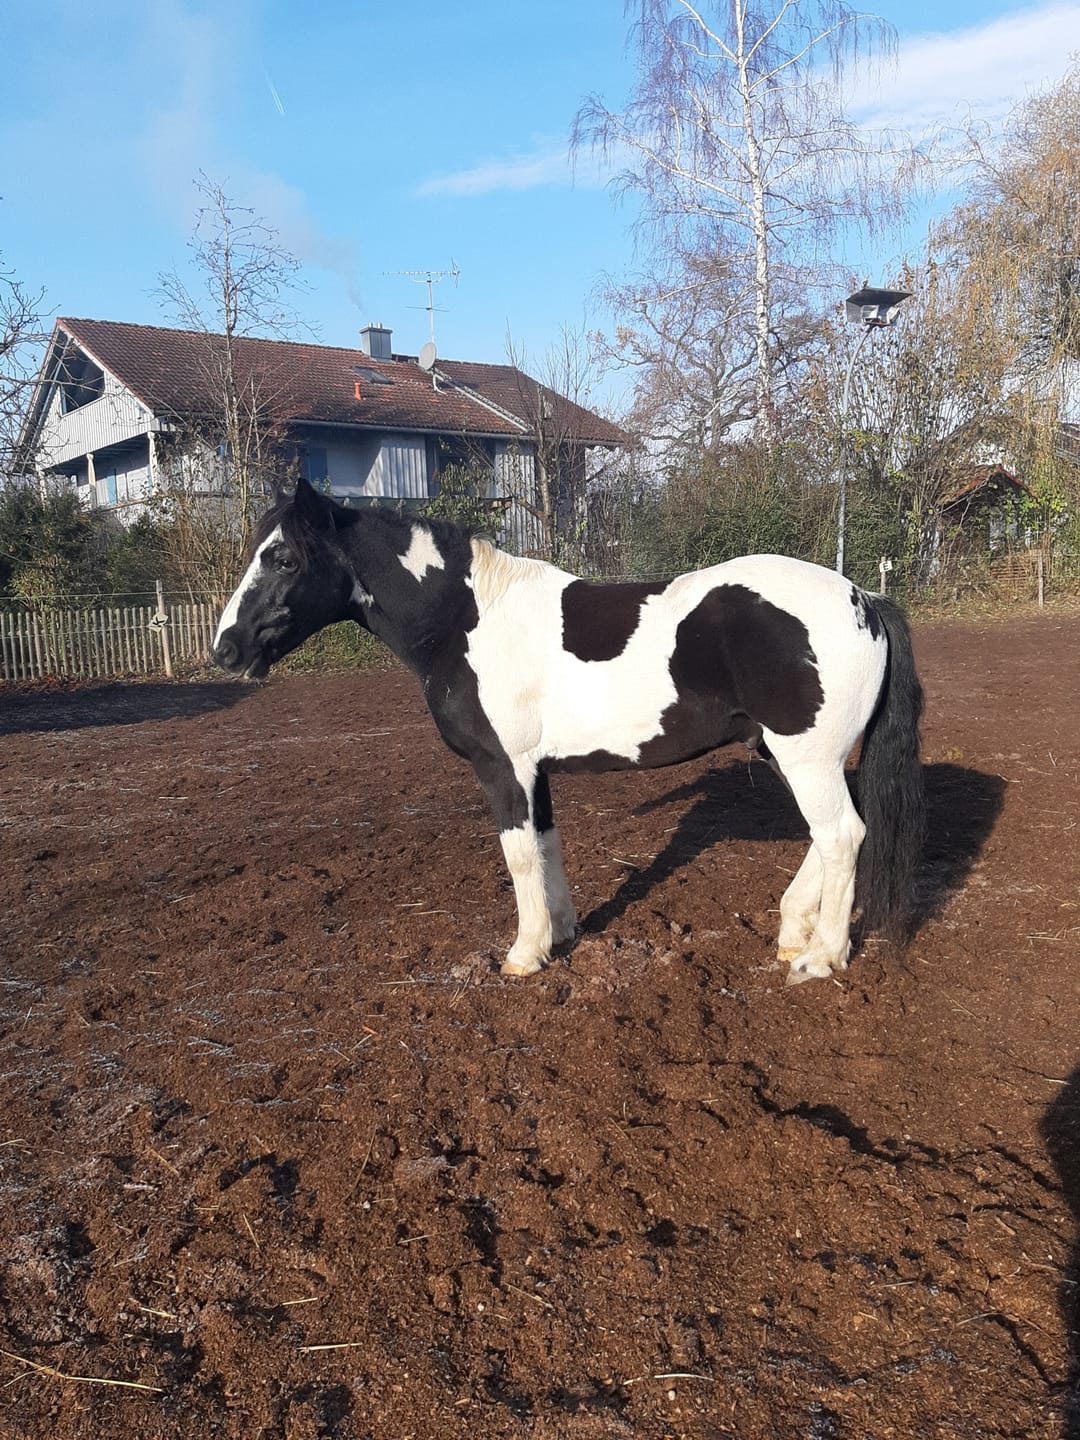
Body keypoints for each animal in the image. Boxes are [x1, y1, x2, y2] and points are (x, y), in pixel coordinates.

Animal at [213, 479, 924, 985]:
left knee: (843, 836)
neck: (466, 619)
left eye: (282, 558)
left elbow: (519, 854)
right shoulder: (536, 772)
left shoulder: (503, 768)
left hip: (806, 758)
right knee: (833, 835)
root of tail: (864, 600)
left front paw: (525, 953)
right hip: (790, 755)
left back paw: (821, 957)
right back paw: (793, 930)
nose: (225, 648)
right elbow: (547, 846)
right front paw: (562, 935)